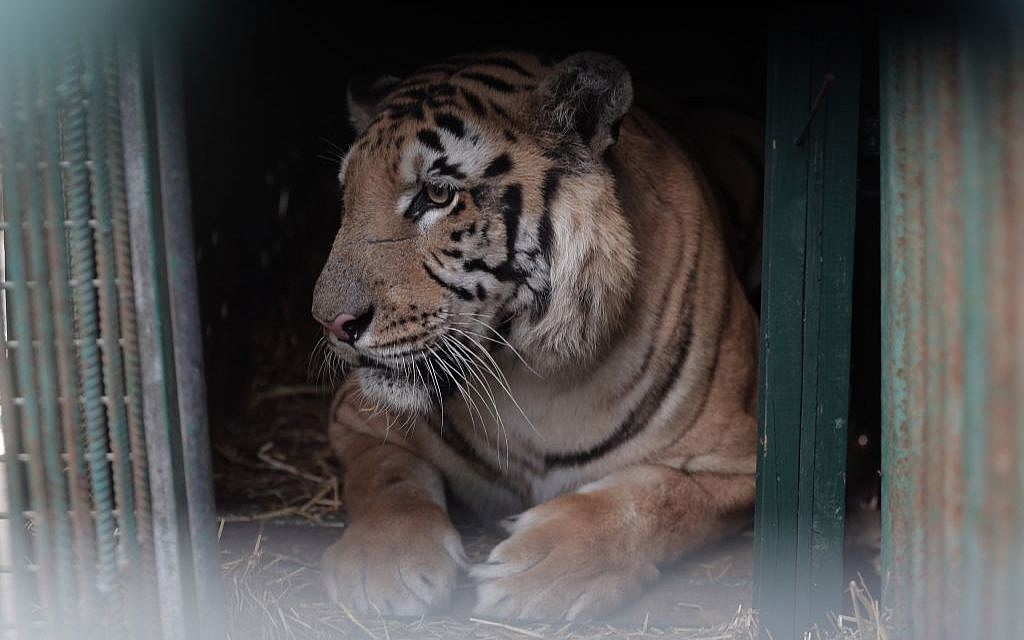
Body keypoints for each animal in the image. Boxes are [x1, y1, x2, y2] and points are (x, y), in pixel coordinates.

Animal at [311, 50, 760, 621]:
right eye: (347, 195)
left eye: (436, 193)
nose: (330, 323)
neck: (535, 374)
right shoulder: (356, 413)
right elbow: (386, 475)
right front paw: (385, 563)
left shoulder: (741, 459)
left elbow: (653, 499)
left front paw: (542, 569)